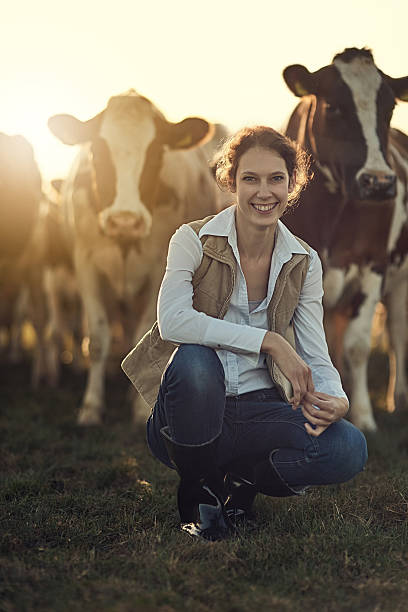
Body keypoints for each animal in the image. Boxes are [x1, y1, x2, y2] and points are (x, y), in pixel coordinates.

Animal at [49, 89, 225, 426]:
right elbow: (98, 338)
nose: (125, 220)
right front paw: (91, 406)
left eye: (156, 153)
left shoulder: (160, 269)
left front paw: (140, 409)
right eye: (98, 151)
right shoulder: (85, 263)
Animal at [282, 46, 408, 430]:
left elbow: (357, 346)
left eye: (390, 107)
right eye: (333, 105)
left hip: (400, 281)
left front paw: (364, 417)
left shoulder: (373, 266)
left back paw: (399, 399)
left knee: (398, 333)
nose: (378, 182)